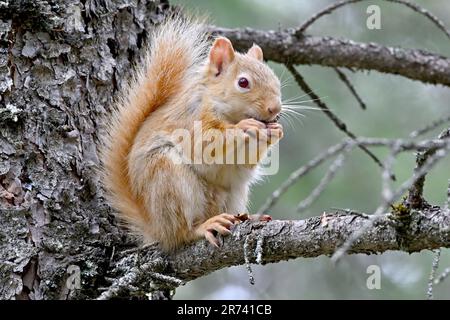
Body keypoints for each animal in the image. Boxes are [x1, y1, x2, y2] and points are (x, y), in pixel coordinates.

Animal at [100, 16, 284, 252]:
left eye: (275, 80)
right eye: (243, 82)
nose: (275, 109)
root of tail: (156, 229)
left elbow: (244, 162)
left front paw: (274, 132)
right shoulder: (191, 122)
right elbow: (206, 145)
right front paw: (246, 127)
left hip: (233, 193)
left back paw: (246, 217)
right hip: (170, 181)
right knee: (181, 233)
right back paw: (203, 226)